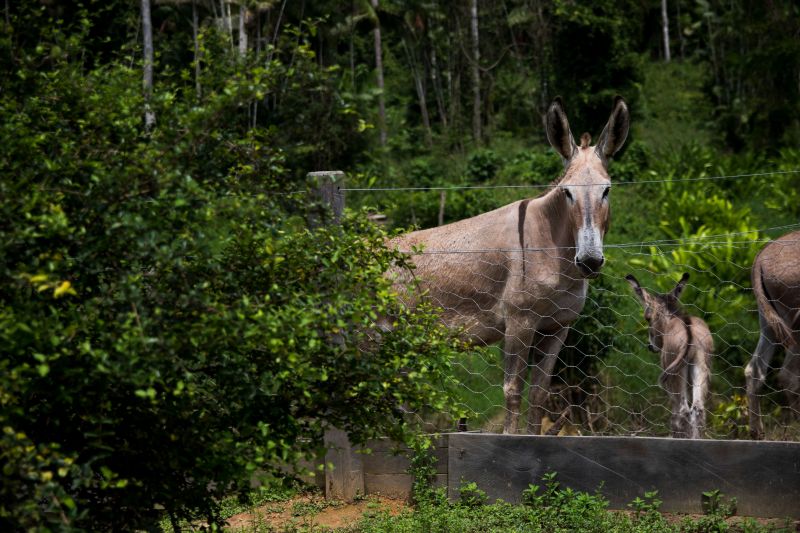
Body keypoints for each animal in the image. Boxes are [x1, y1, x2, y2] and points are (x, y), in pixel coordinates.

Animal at [624, 272, 712, 438]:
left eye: (647, 318)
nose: (650, 346)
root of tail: (689, 333)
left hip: (674, 375)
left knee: (683, 411)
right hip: (699, 366)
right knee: (697, 409)